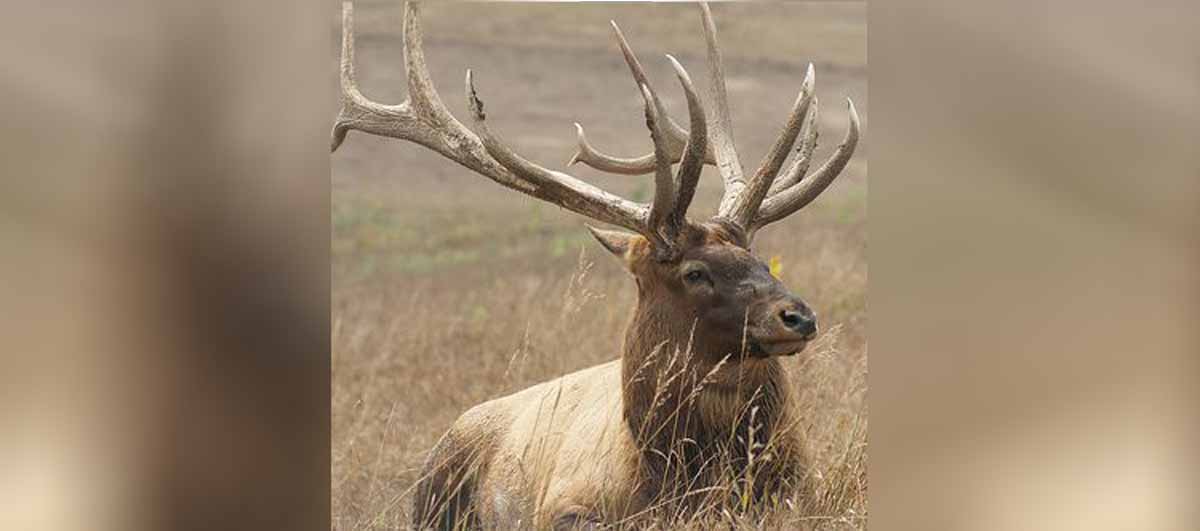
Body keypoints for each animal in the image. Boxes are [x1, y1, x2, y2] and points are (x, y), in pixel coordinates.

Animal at [331, 1, 859, 528]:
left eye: (757, 258)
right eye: (693, 273)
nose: (797, 316)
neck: (684, 480)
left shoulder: (803, 494)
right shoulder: (566, 506)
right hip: (433, 492)